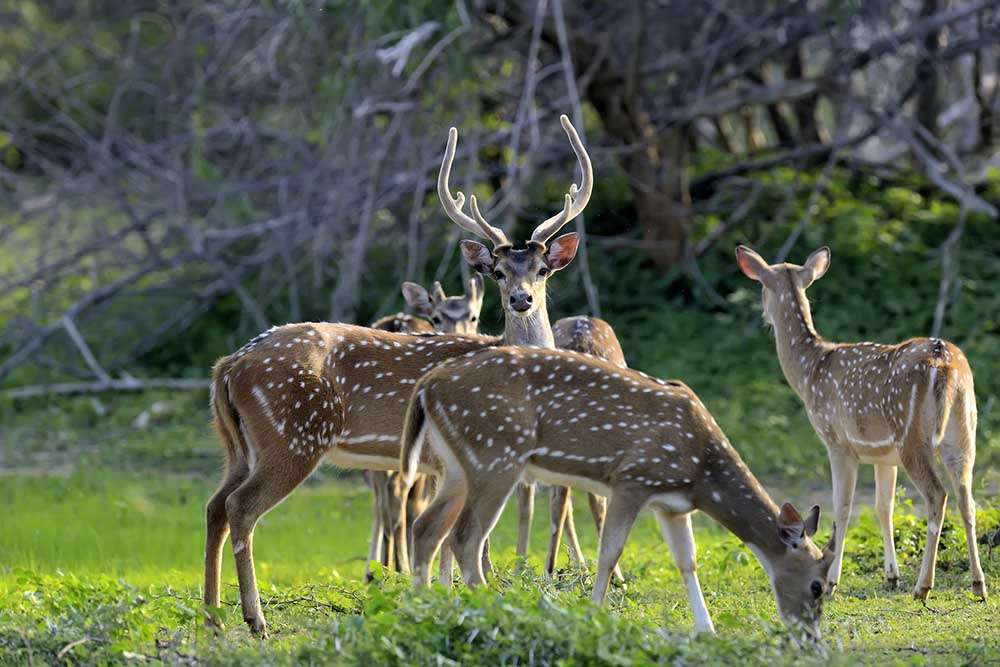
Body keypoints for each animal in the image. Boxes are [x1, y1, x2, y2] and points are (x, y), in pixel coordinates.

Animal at [203, 113, 592, 636]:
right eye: (498, 273)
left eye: (542, 269)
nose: (521, 299)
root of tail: (228, 366)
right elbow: (465, 540)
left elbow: (447, 542)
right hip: (292, 436)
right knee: (240, 509)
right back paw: (255, 619)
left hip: (238, 444)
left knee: (214, 506)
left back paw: (211, 617)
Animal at [404, 348, 836, 640]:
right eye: (817, 585)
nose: (810, 637)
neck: (701, 470)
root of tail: (427, 387)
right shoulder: (633, 478)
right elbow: (609, 553)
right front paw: (594, 614)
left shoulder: (673, 506)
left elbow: (687, 562)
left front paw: (707, 629)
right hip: (496, 452)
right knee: (465, 537)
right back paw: (496, 607)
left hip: (457, 466)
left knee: (427, 527)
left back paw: (424, 604)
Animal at [736, 245, 984, 600]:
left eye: (761, 287)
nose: (764, 317)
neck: (810, 371)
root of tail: (943, 362)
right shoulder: (882, 456)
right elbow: (884, 506)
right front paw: (891, 575)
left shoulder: (837, 442)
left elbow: (842, 508)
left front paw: (831, 579)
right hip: (964, 431)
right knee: (967, 499)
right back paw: (979, 585)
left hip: (911, 435)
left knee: (938, 496)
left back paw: (923, 586)